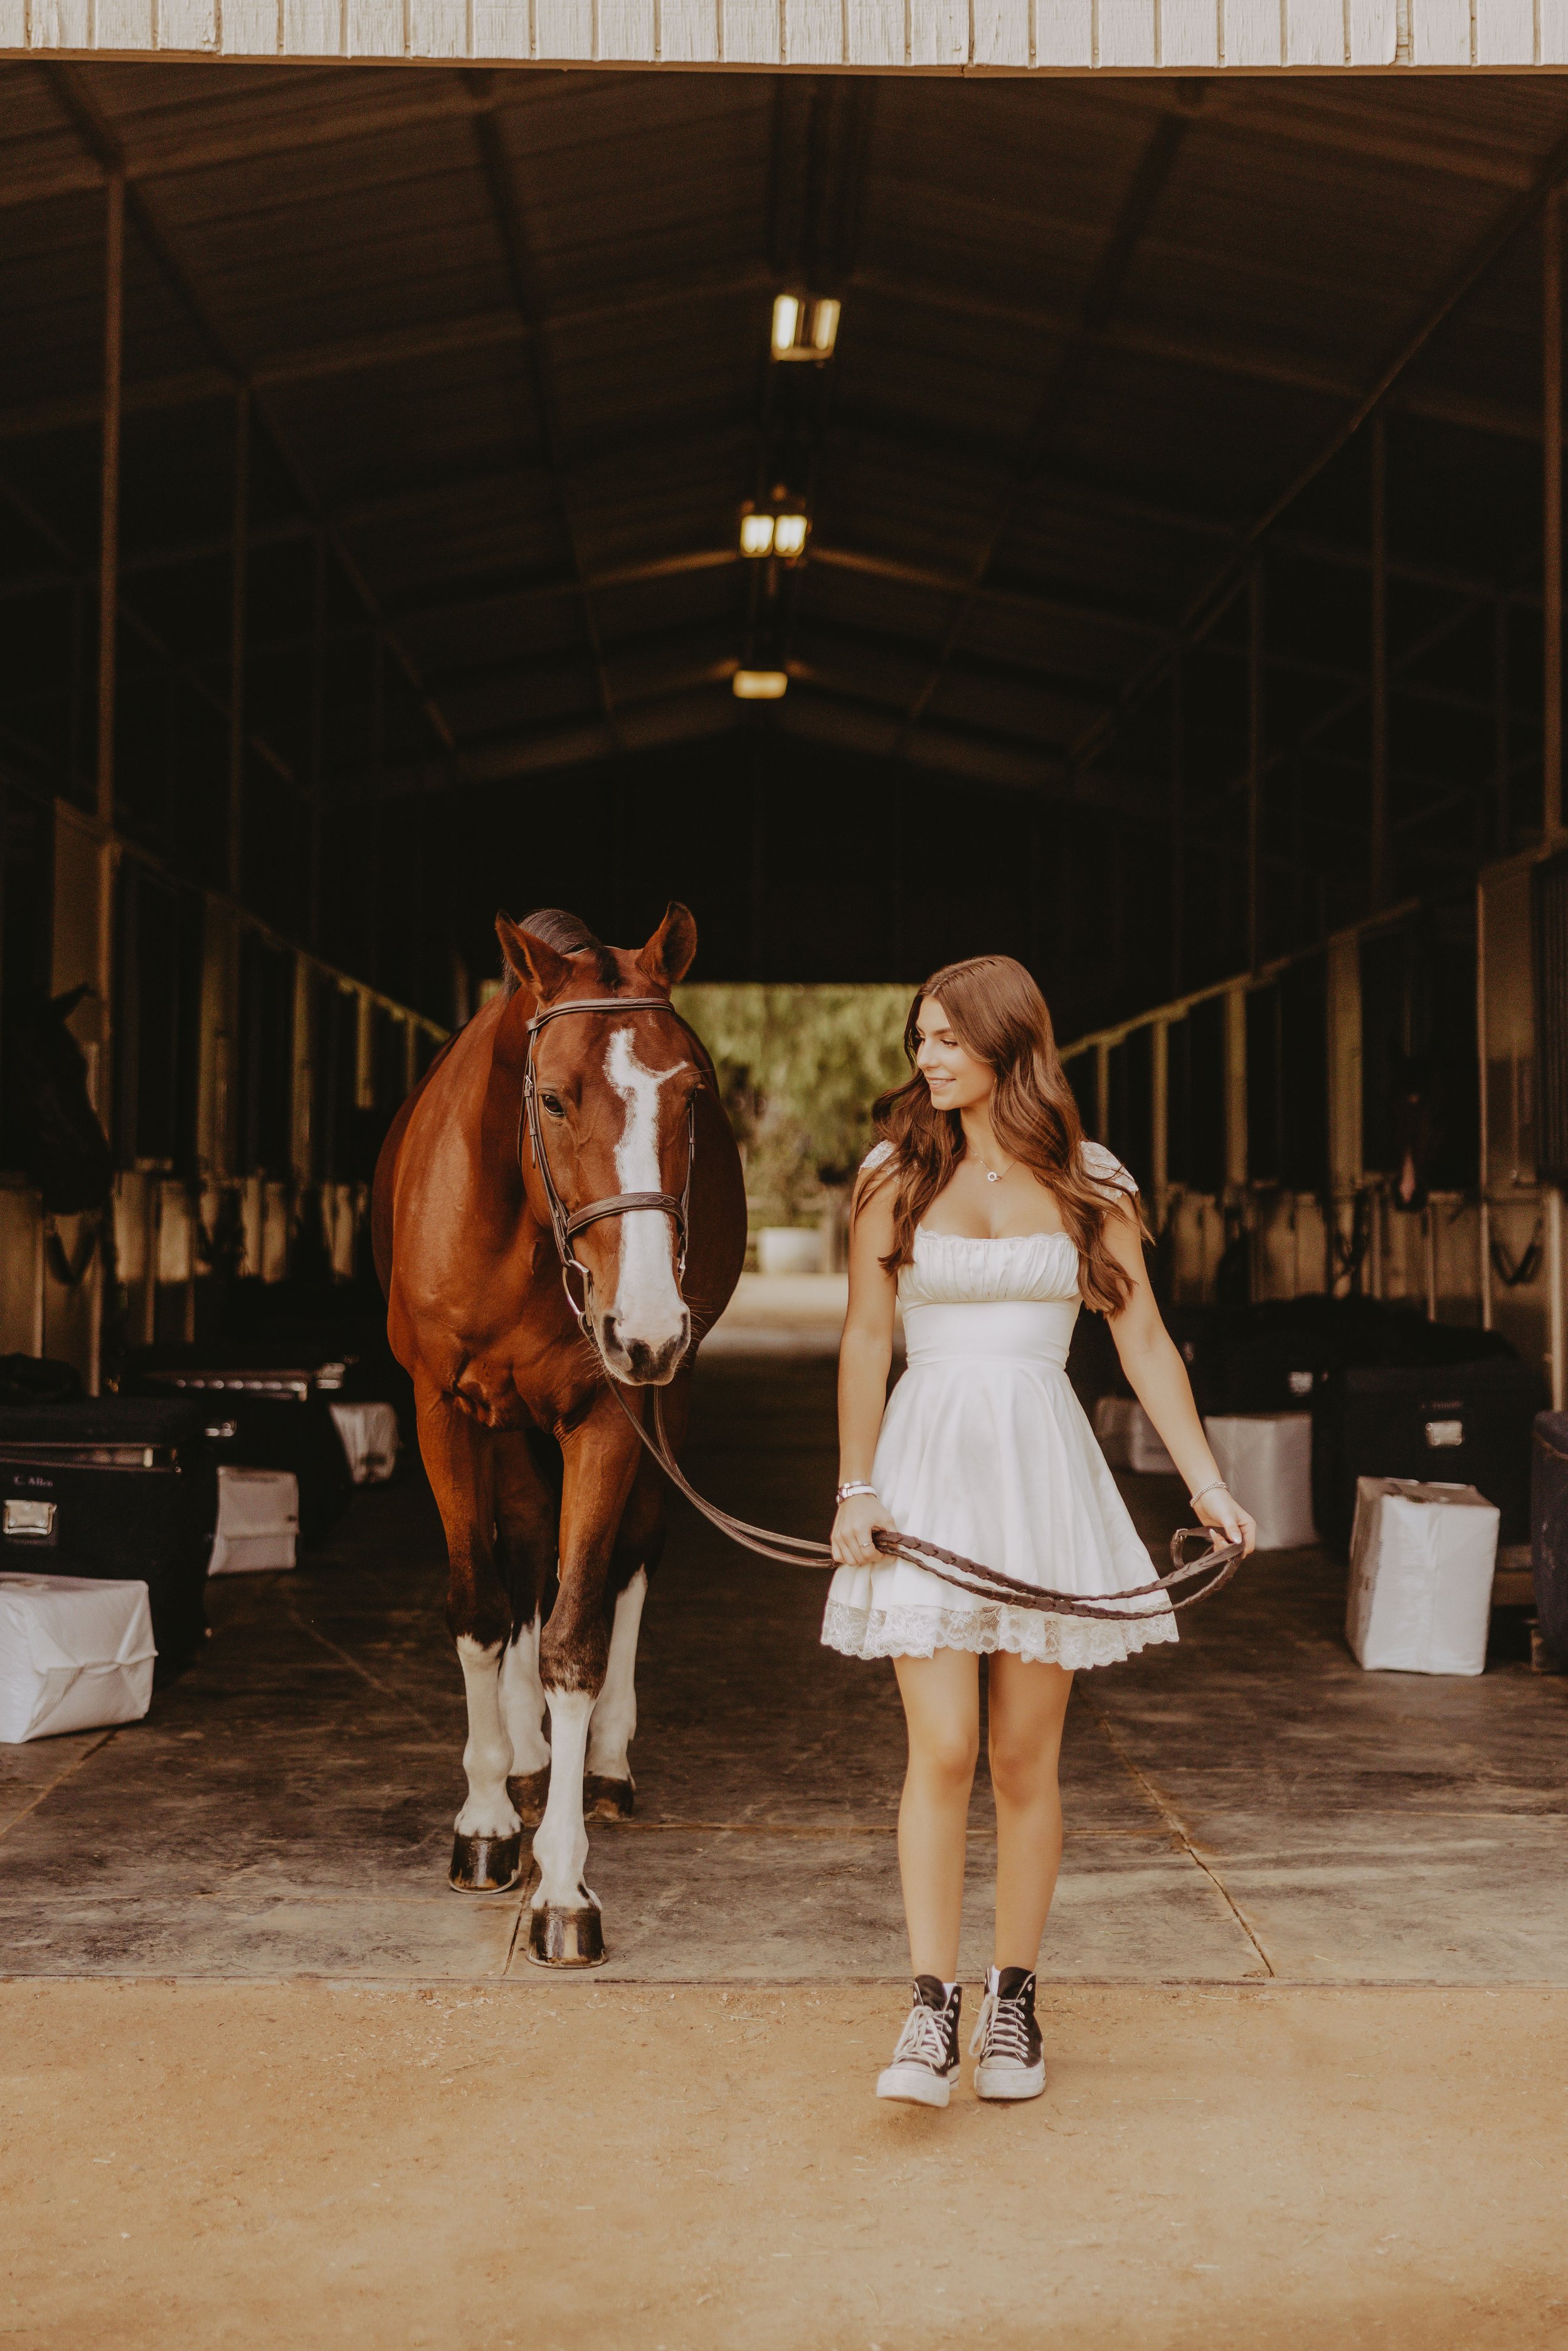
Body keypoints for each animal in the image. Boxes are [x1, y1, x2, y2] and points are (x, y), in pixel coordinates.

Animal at [376, 903, 752, 1965]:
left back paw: (602, 1762)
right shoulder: (441, 1410)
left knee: (628, 1559)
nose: (649, 1323)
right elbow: (481, 1606)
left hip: (659, 1400)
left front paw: (563, 1888)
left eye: (691, 1096)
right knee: (522, 1556)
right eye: (551, 1098)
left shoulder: (607, 1411)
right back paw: (525, 1755)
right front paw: (486, 1822)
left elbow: (578, 1631)